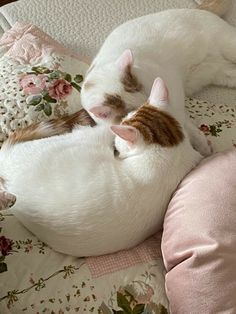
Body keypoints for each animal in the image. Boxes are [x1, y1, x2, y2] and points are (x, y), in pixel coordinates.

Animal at [81, 1, 234, 156]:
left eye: (147, 95)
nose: (151, 104)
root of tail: (199, 9)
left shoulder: (174, 93)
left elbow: (182, 120)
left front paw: (201, 144)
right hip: (223, 73)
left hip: (228, 45)